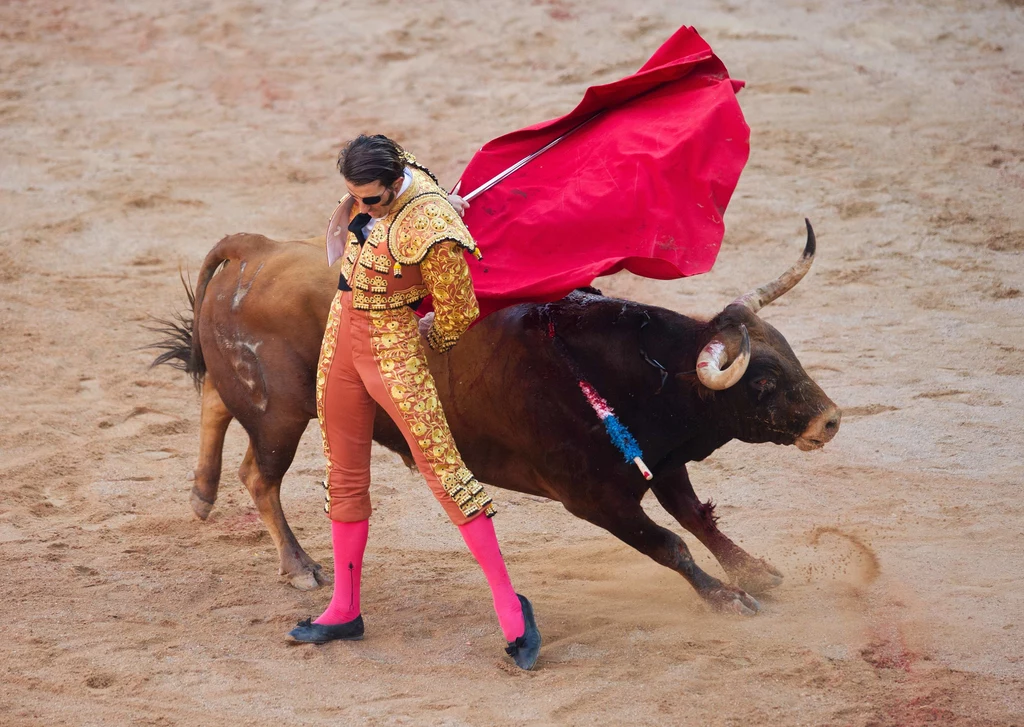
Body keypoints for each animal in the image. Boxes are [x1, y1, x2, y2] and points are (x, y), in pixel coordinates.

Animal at [151, 221, 839, 614]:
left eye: (790, 353)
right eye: (764, 381)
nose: (830, 420)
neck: (629, 373)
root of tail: (257, 249)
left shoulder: (661, 463)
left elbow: (696, 518)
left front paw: (756, 572)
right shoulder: (594, 498)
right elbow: (669, 542)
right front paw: (729, 598)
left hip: (267, 401)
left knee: (215, 400)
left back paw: (201, 494)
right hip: (284, 414)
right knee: (259, 475)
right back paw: (298, 568)